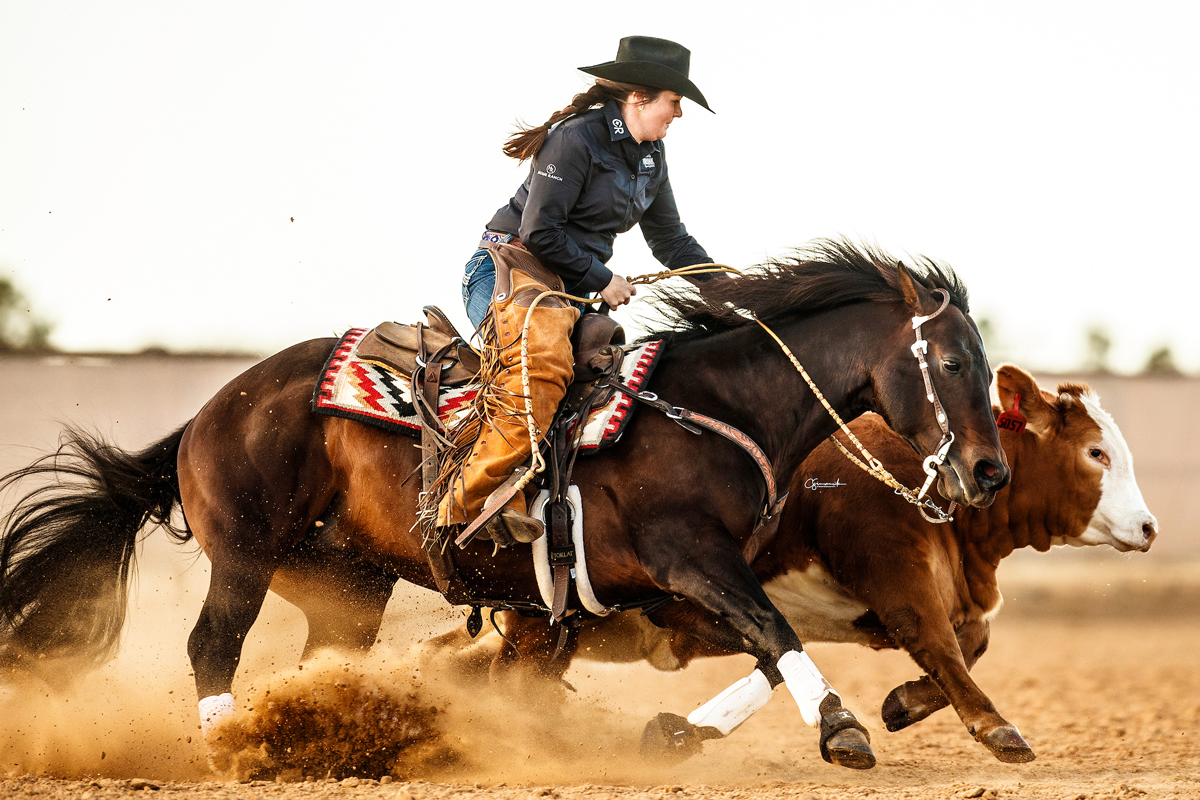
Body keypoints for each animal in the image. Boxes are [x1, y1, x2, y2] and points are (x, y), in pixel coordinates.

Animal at [0, 239, 1012, 767]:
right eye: (951, 360)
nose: (990, 474)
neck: (713, 408)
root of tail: (214, 410)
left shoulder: (657, 595)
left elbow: (768, 645)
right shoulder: (694, 562)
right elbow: (777, 631)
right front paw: (844, 729)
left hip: (345, 585)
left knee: (320, 660)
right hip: (245, 554)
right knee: (213, 645)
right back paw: (234, 750)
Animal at [424, 367, 1161, 767]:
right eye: (1096, 453)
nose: (1149, 528)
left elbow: (958, 641)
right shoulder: (892, 566)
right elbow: (939, 642)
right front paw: (996, 727)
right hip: (545, 625)